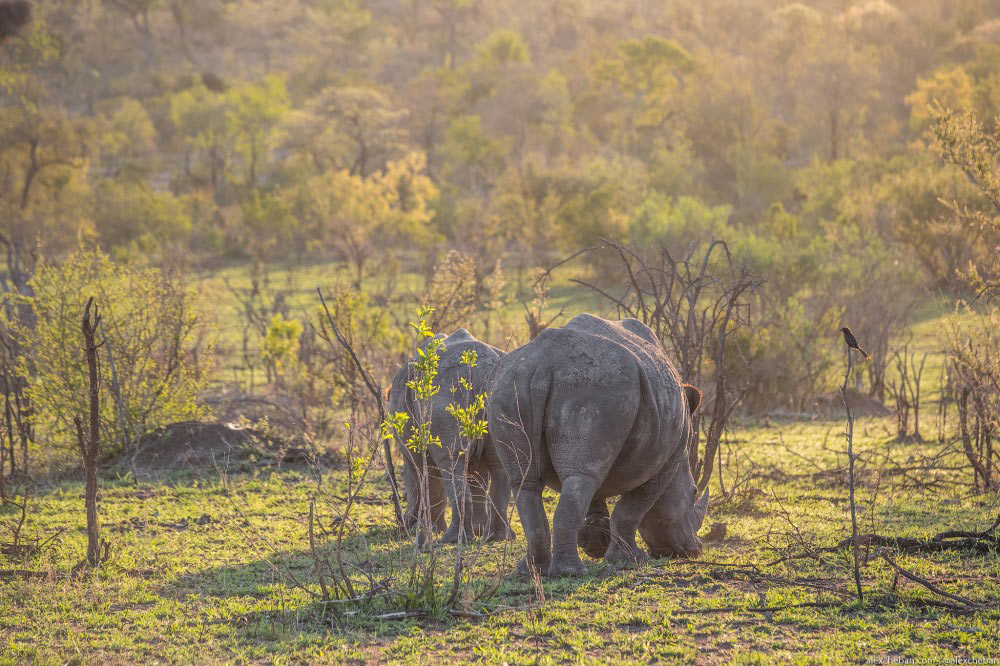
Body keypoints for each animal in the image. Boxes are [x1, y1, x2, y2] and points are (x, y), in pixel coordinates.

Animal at [388, 326, 512, 540]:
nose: (403, 525)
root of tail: (479, 371)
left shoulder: (415, 447)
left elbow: (426, 482)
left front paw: (430, 531)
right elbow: (478, 479)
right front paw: (478, 530)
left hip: (445, 395)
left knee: (451, 463)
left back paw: (451, 539)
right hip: (501, 393)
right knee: (497, 466)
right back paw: (495, 537)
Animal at [486, 314, 708, 572]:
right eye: (693, 493)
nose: (694, 550)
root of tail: (542, 366)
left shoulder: (602, 450)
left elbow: (596, 494)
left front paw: (595, 543)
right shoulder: (669, 458)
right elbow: (633, 507)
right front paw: (630, 559)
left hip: (510, 388)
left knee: (529, 481)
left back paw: (532, 570)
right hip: (594, 389)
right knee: (580, 478)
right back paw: (570, 573)